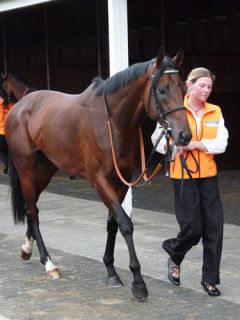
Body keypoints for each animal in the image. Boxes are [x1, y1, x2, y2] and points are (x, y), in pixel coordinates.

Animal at [4, 51, 191, 302]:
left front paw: (111, 270)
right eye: (162, 90)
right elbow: (125, 223)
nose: (184, 135)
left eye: (183, 88)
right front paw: (138, 282)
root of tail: (19, 107)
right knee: (32, 212)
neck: (110, 122)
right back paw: (49, 264)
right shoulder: (100, 181)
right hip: (26, 168)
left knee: (31, 208)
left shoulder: (121, 182)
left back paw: (26, 249)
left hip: (45, 171)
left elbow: (113, 223)